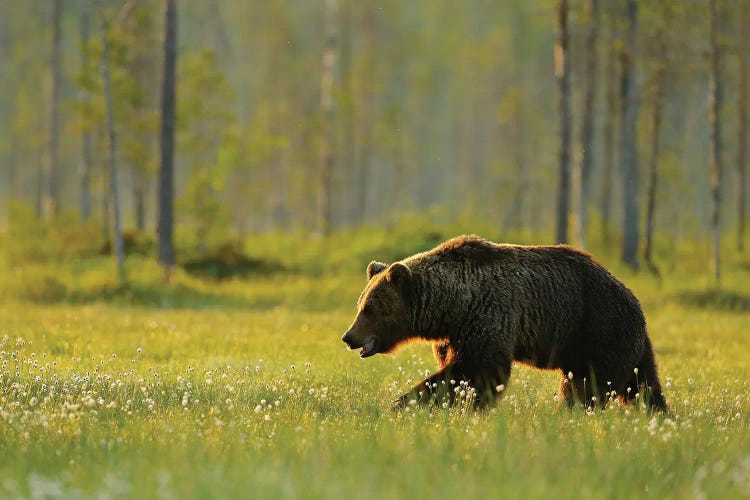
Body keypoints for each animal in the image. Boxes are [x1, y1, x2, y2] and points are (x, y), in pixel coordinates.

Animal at [342, 234, 668, 410]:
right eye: (360, 304)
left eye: (369, 309)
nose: (348, 337)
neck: (450, 306)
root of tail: (633, 298)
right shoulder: (452, 336)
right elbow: (458, 369)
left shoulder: (488, 313)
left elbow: (478, 370)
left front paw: (405, 403)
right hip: (624, 342)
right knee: (642, 384)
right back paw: (655, 413)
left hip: (598, 328)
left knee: (590, 384)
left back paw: (569, 410)